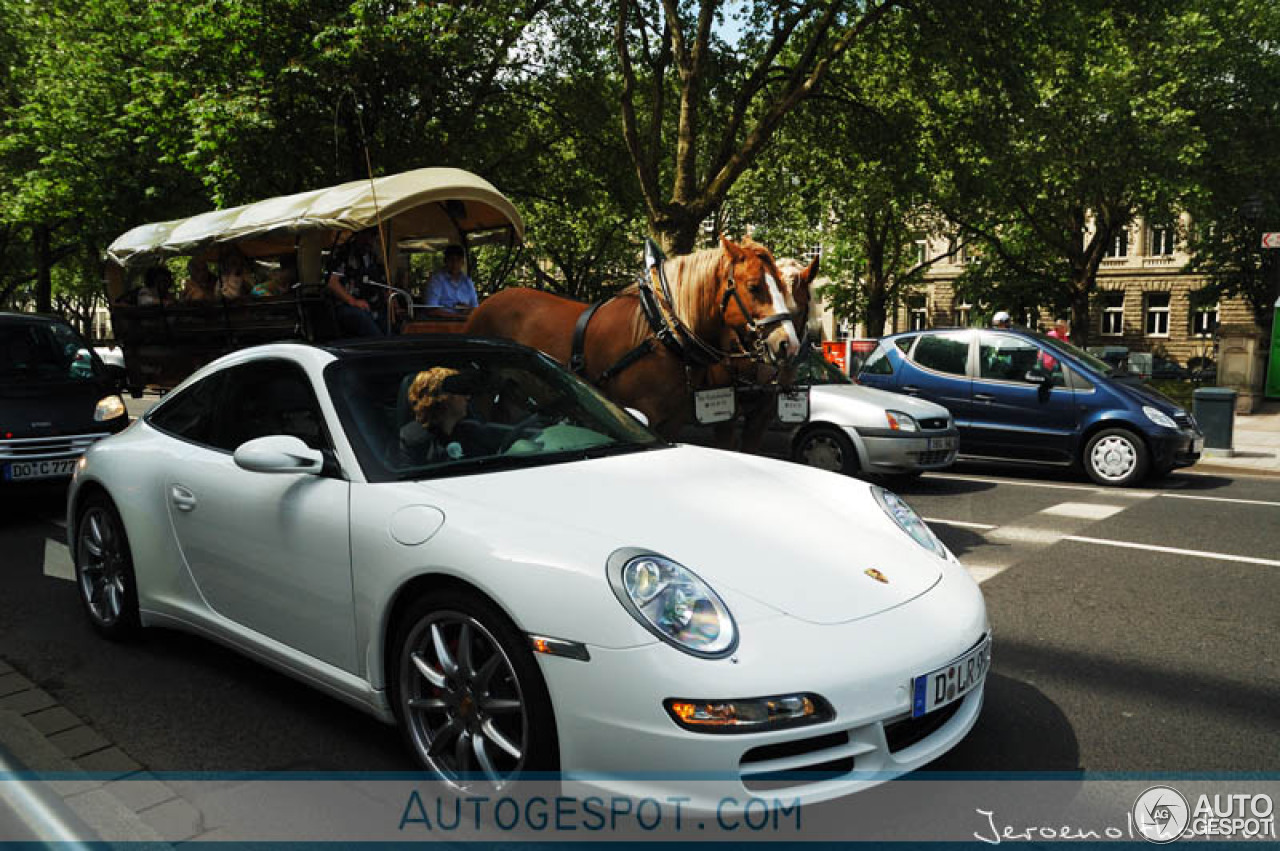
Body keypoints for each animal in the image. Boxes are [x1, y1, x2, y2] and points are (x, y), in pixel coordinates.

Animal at [471, 236, 803, 440]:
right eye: (754, 286)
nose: (788, 344)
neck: (660, 335)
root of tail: (487, 302)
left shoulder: (672, 422)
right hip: (484, 391)